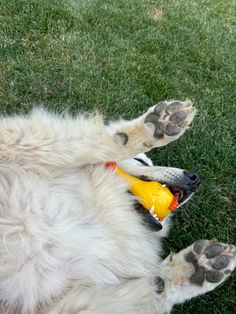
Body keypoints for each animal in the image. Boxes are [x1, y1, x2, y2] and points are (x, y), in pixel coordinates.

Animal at [0, 100, 235, 312]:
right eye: (142, 162)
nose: (195, 178)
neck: (96, 207)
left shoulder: (59, 302)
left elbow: (155, 288)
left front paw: (195, 269)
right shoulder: (12, 142)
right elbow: (74, 145)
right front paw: (149, 129)